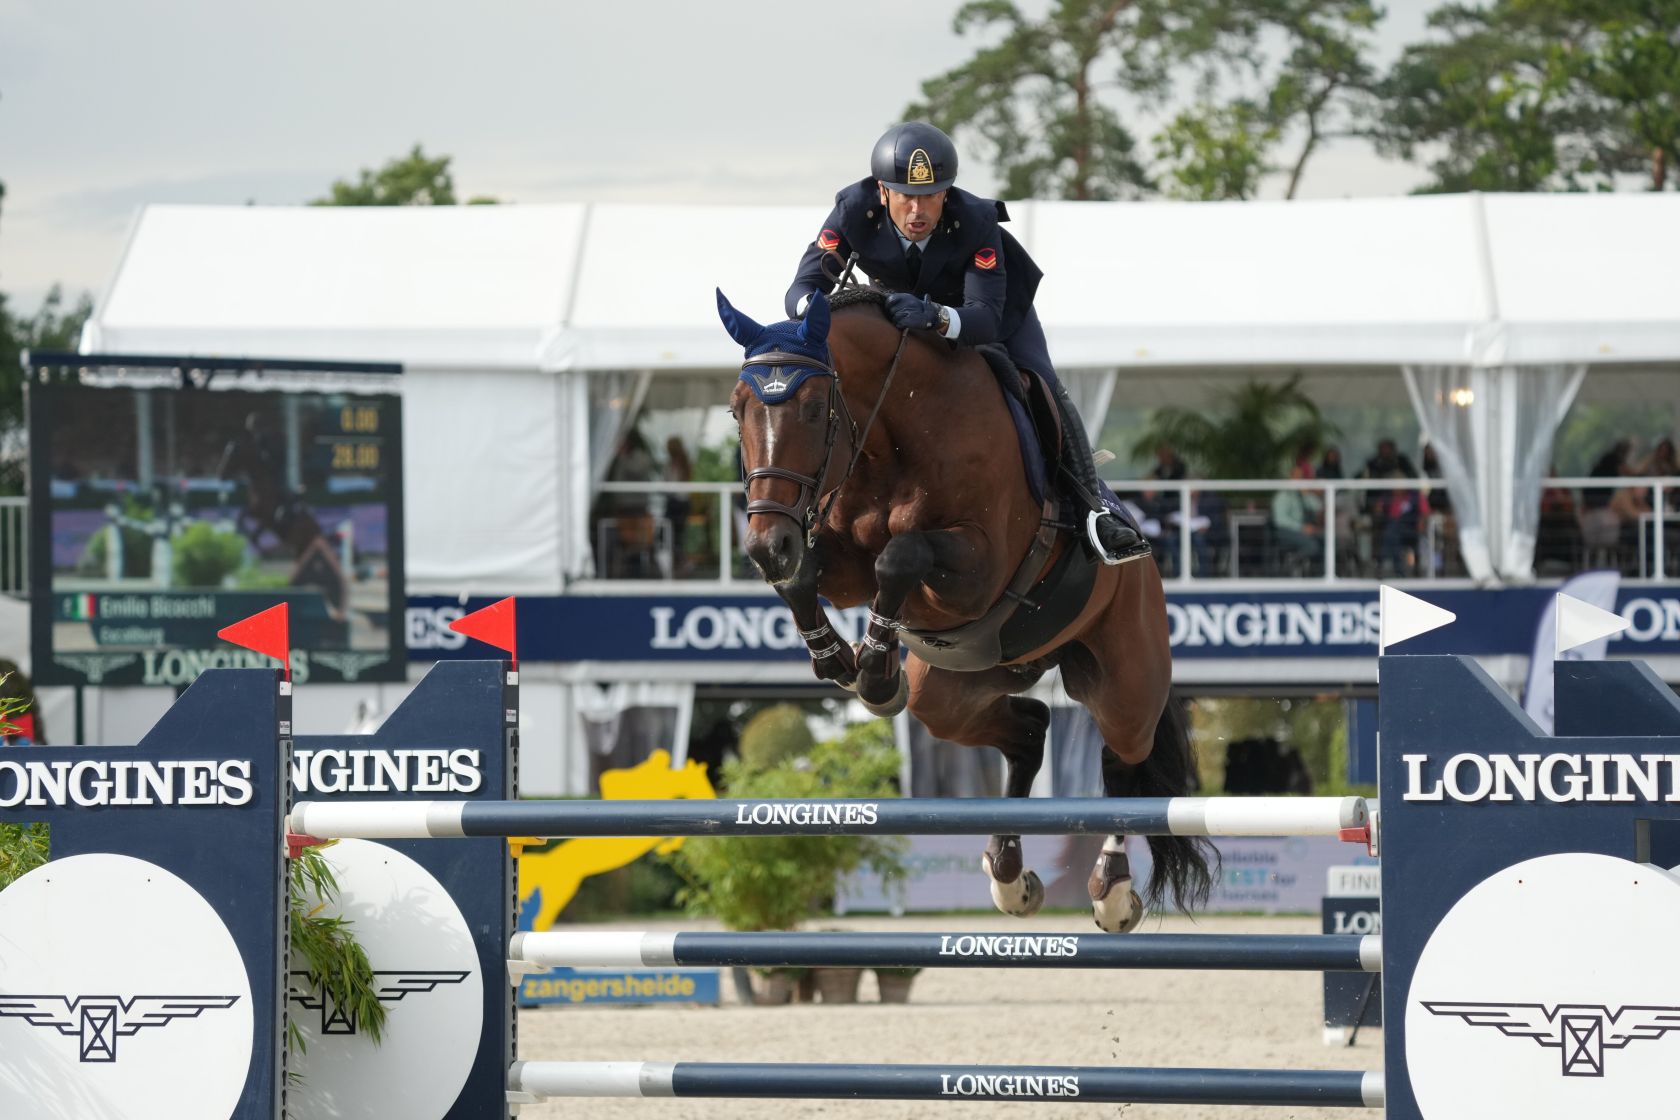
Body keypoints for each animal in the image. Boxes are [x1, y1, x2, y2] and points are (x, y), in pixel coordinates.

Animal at [715, 285, 1216, 933]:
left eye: (812, 408)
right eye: (737, 409)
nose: (763, 546)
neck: (892, 429)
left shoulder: (978, 568)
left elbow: (901, 556)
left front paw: (875, 673)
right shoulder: (839, 557)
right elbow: (812, 575)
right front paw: (840, 660)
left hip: (1125, 678)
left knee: (1126, 759)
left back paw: (1112, 890)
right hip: (955, 689)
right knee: (1028, 728)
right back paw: (1009, 876)